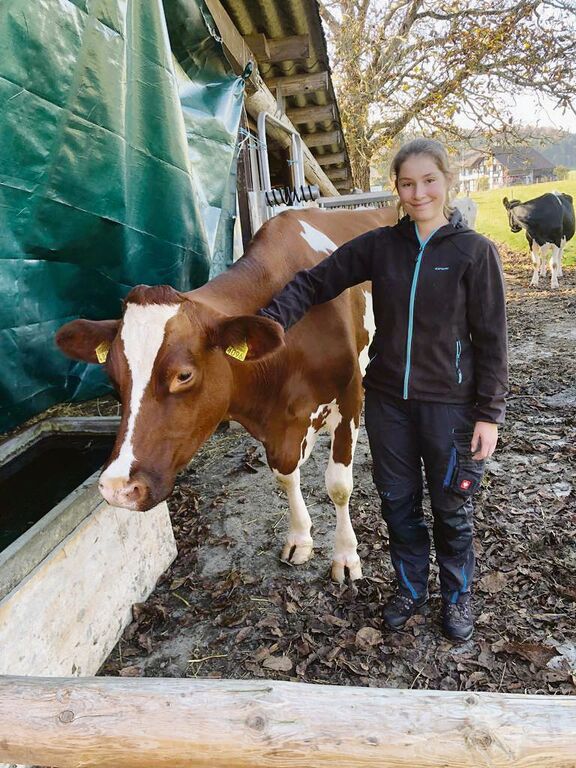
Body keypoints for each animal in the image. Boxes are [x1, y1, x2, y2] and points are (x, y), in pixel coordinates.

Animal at [56, 207, 398, 583]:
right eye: (112, 377)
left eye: (184, 375)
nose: (118, 488)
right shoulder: (276, 426)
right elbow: (285, 477)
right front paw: (300, 538)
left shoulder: (349, 400)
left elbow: (338, 486)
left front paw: (346, 556)